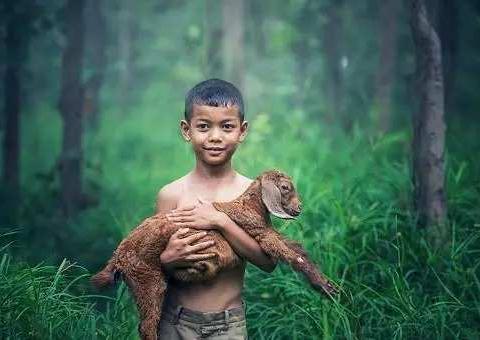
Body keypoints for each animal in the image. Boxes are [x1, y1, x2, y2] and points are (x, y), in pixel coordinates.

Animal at [91, 171, 338, 340]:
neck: (249, 206)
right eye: (285, 187)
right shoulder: (260, 234)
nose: (300, 208)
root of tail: (117, 258)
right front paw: (325, 287)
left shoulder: (267, 232)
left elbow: (298, 249)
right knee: (147, 325)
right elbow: (293, 256)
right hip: (146, 278)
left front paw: (326, 285)